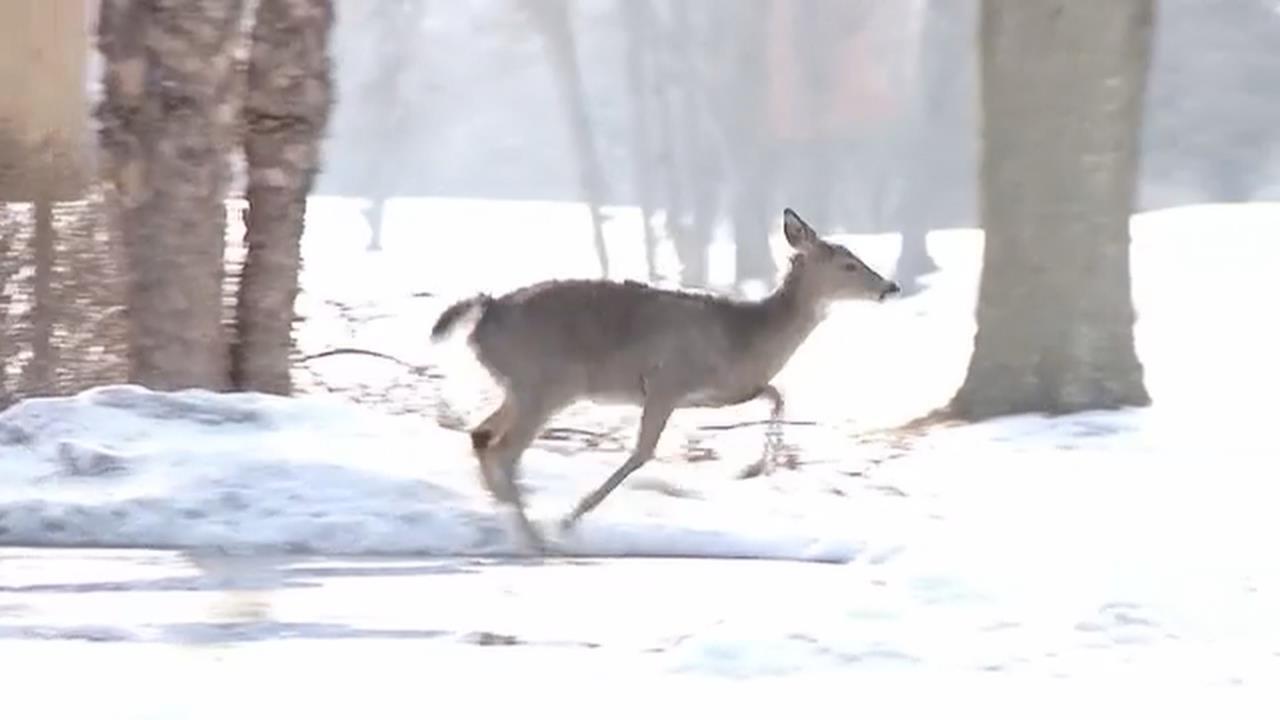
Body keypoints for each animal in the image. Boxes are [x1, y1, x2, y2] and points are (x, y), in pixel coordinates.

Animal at [430, 208, 900, 553]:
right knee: (502, 450)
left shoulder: (724, 391)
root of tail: (484, 315)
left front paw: (757, 466)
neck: (745, 335)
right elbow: (643, 452)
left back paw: (505, 525)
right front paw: (571, 516)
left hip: (523, 387)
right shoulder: (665, 381)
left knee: (481, 437)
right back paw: (538, 538)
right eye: (848, 264)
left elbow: (777, 394)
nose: (890, 287)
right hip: (547, 383)